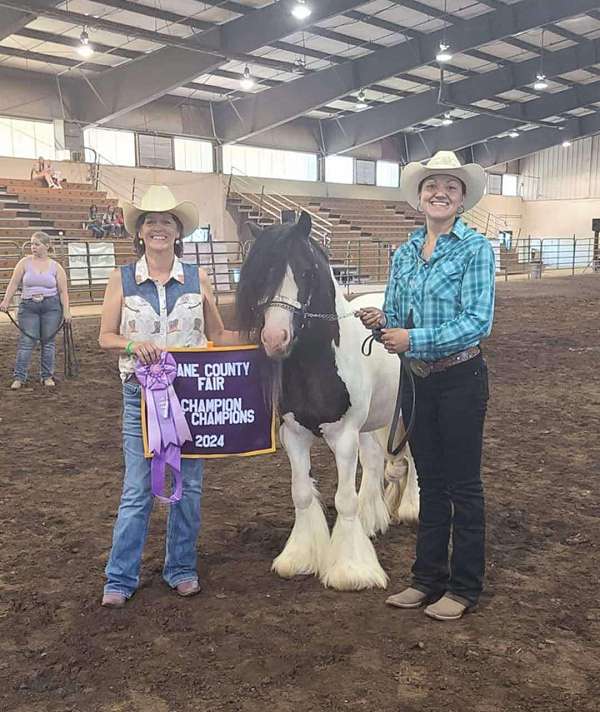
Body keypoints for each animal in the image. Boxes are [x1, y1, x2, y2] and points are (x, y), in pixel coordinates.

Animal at [236, 211, 418, 588]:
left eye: (306, 272)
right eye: (262, 274)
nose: (274, 338)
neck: (317, 362)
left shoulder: (344, 437)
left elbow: (344, 499)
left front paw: (351, 570)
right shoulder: (294, 435)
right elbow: (302, 493)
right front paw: (300, 557)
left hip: (407, 416)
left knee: (413, 461)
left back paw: (409, 508)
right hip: (373, 424)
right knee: (377, 463)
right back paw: (374, 518)